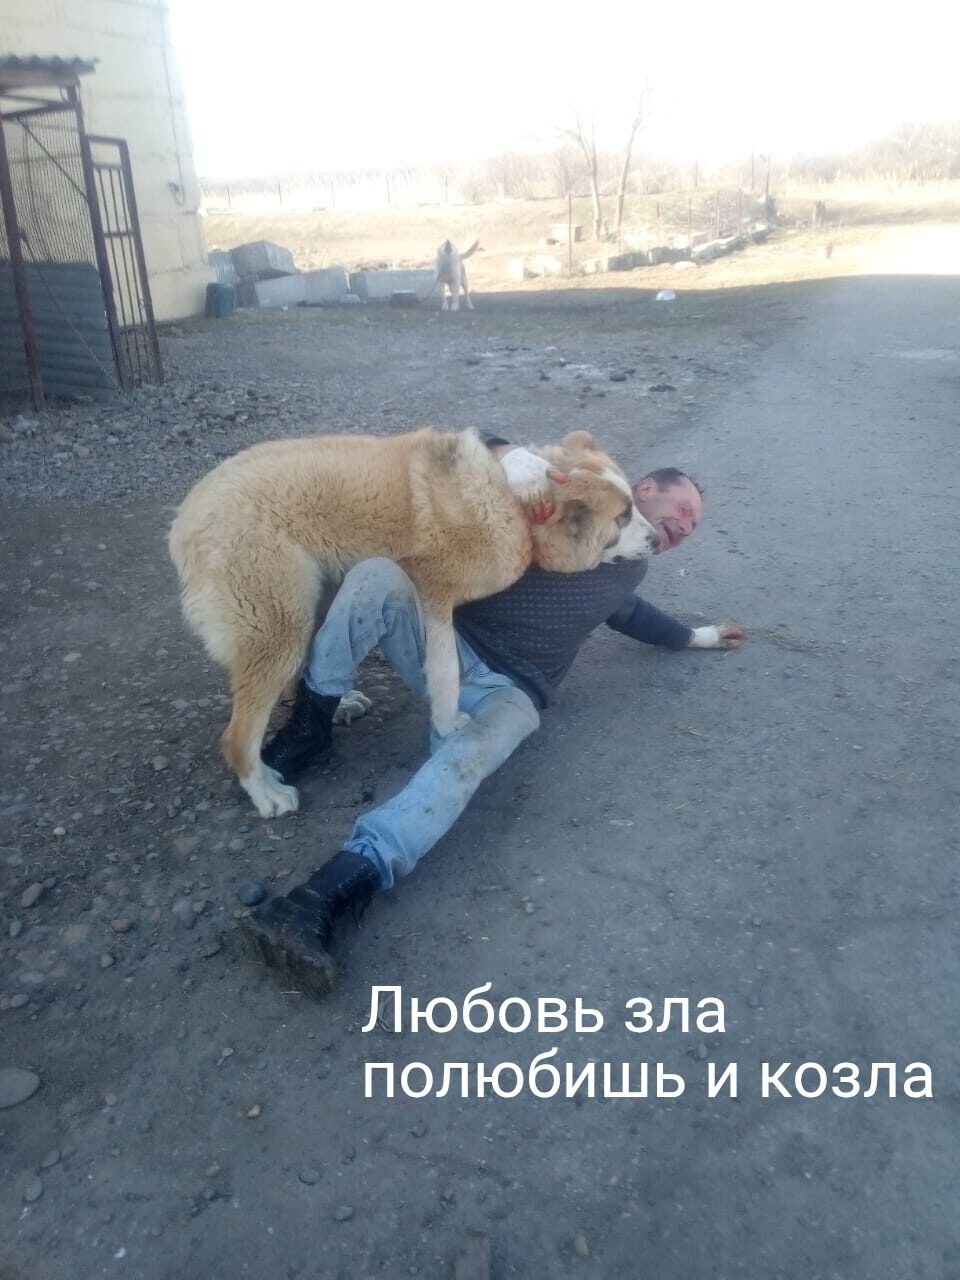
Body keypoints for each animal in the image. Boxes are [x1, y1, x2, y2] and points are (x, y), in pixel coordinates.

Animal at [168, 428, 658, 819]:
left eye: (633, 508)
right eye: (623, 516)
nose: (656, 538)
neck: (513, 505)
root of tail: (185, 519)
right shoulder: (434, 595)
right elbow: (445, 670)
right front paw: (448, 721)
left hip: (313, 602)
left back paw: (336, 704)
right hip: (279, 629)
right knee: (237, 737)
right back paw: (265, 791)